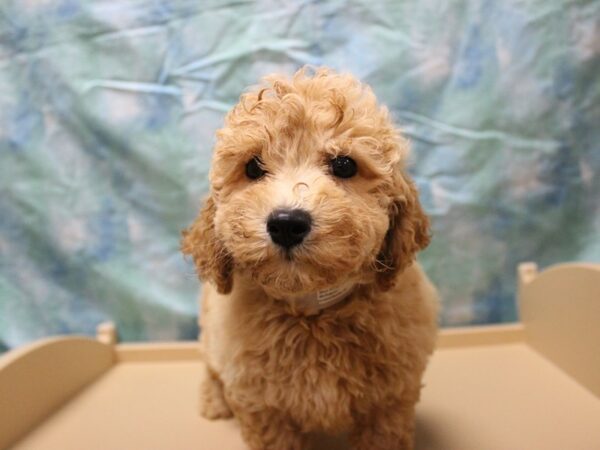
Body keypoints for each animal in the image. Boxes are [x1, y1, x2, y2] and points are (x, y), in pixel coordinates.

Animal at [180, 67, 438, 450]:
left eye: (344, 165)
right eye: (252, 168)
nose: (287, 224)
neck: (312, 312)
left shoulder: (390, 402)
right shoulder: (262, 406)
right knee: (211, 367)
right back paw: (213, 401)